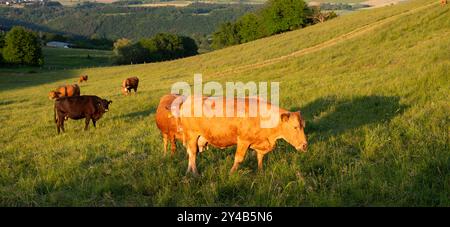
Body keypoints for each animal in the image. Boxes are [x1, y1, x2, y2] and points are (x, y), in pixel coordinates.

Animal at [178, 95, 308, 175]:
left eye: (303, 125)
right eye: (295, 127)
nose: (305, 145)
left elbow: (260, 157)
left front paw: (260, 172)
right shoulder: (243, 140)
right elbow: (239, 159)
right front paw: (231, 174)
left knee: (191, 153)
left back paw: (188, 172)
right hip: (192, 135)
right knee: (193, 154)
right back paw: (195, 173)